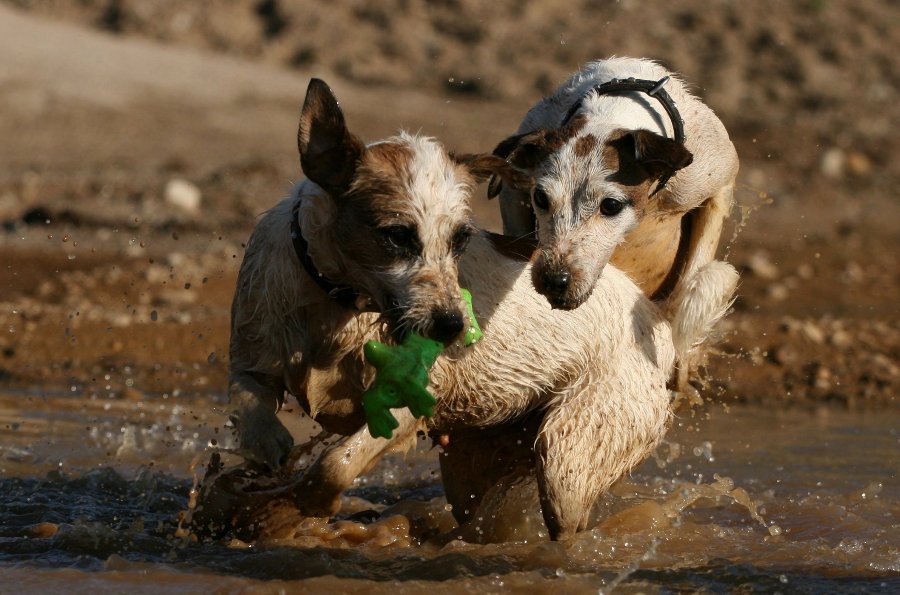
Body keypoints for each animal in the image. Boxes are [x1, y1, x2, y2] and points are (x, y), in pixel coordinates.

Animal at [225, 78, 676, 540]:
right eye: (397, 236)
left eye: (461, 237)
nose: (453, 327)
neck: (338, 304)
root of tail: (654, 317)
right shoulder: (254, 355)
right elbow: (249, 407)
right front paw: (261, 471)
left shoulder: (413, 397)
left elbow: (333, 466)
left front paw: (280, 513)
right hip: (475, 466)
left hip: (569, 457)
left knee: (567, 515)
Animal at [492, 56, 740, 392]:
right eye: (541, 198)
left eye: (611, 205)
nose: (555, 280)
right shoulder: (514, 191)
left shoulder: (718, 185)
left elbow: (696, 285)